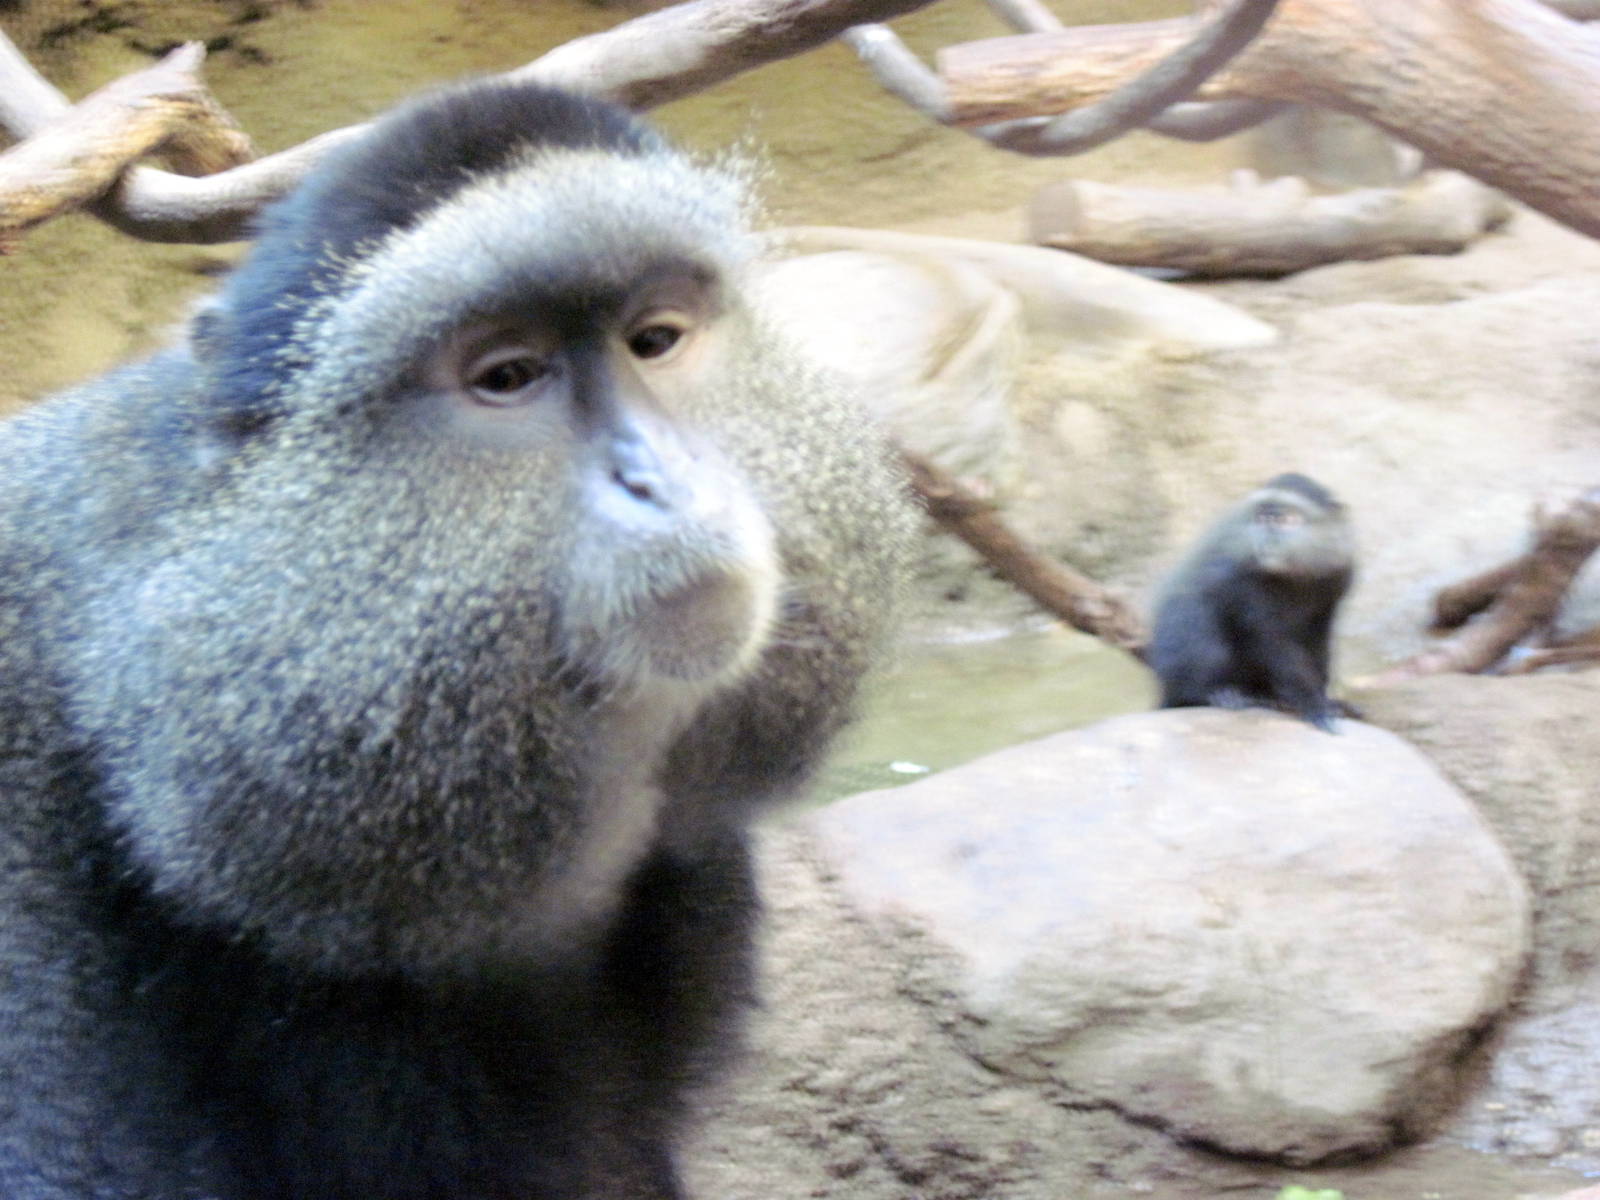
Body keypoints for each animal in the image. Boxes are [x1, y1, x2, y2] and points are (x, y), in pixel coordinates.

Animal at [1146, 472, 1356, 732]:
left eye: (1283, 519)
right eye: (1263, 517)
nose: (1265, 540)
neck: (1296, 573)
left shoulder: (1338, 577)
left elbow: (1318, 640)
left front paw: (1325, 700)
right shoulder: (1245, 578)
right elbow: (1270, 641)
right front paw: (1312, 704)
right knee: (1198, 621)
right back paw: (1215, 694)